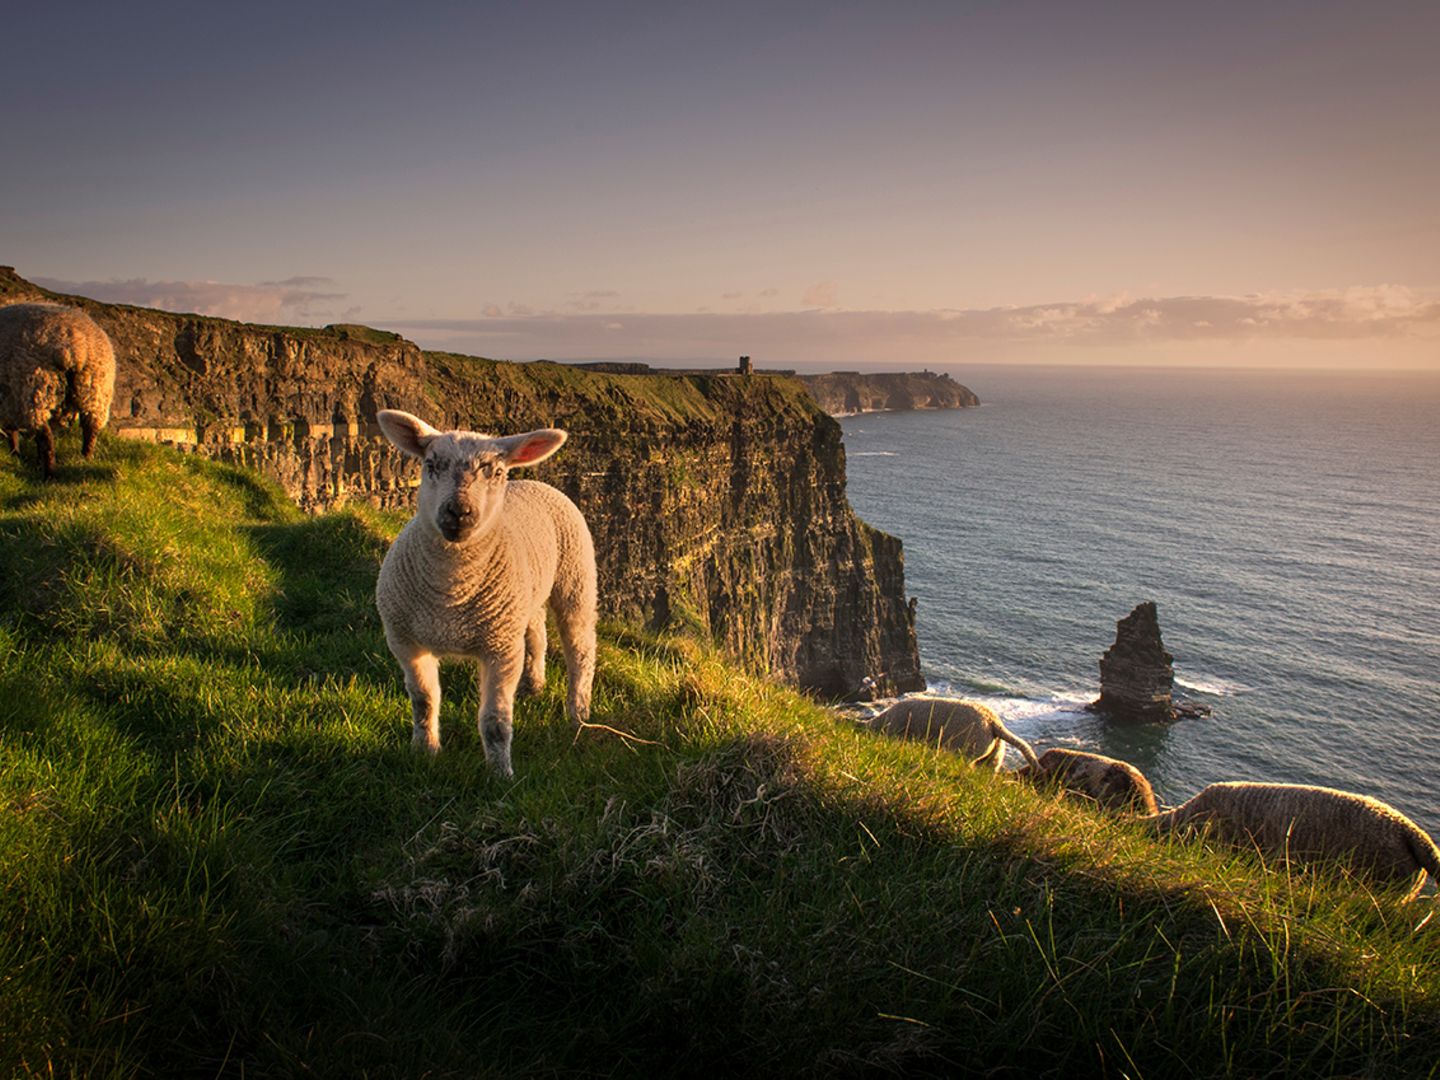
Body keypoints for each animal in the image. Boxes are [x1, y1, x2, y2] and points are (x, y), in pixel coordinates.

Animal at [0, 302, 115, 475]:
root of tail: (75, 345)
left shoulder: (8, 402)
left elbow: (11, 433)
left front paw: (15, 455)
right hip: (96, 388)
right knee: (90, 428)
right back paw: (85, 459)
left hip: (36, 388)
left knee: (44, 434)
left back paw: (49, 472)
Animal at [377, 408, 596, 777]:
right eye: (431, 464)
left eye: (496, 472)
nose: (459, 512)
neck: (451, 593)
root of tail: (534, 481)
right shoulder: (405, 642)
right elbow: (424, 700)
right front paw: (425, 750)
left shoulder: (501, 650)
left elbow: (495, 721)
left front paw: (500, 775)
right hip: (523, 599)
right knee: (536, 634)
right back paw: (533, 685)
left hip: (576, 578)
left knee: (580, 648)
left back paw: (578, 713)